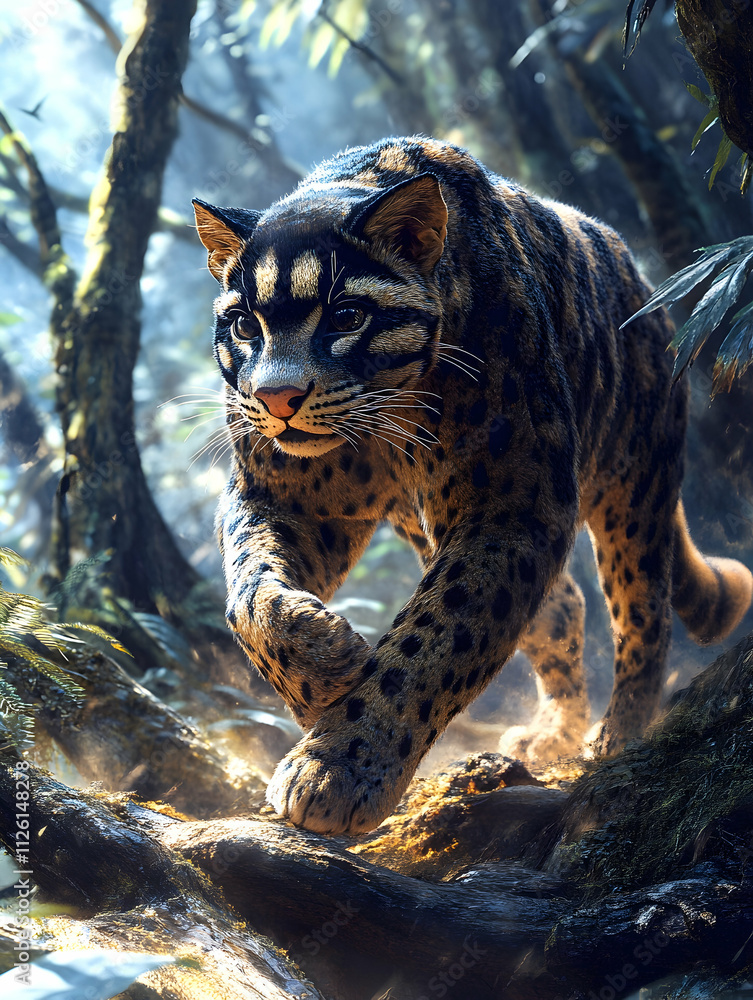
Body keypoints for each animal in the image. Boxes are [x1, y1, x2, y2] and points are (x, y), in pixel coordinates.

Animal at [192, 135, 753, 835]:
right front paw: (324, 669)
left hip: (637, 492)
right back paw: (554, 733)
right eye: (245, 325)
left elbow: (436, 636)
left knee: (643, 617)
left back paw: (617, 741)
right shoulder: (281, 496)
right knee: (561, 608)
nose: (276, 398)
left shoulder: (513, 507)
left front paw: (339, 767)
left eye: (346, 316)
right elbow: (249, 593)